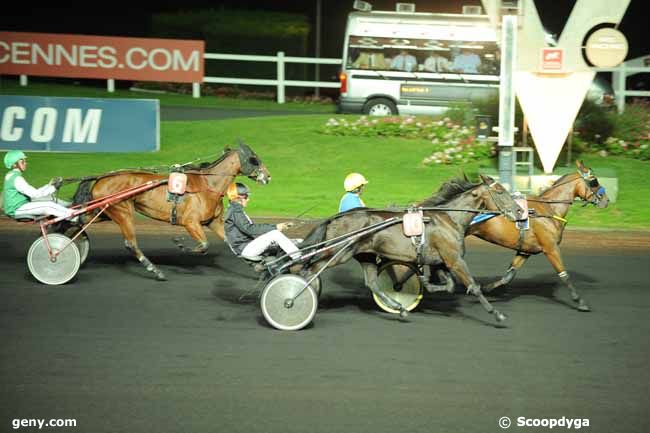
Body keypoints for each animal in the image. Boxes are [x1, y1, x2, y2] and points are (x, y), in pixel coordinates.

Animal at [72, 142, 270, 280]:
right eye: (254, 158)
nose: (267, 176)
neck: (208, 185)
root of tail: (101, 177)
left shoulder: (214, 222)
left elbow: (230, 243)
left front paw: (256, 266)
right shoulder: (191, 222)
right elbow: (204, 245)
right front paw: (180, 245)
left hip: (104, 212)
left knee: (79, 221)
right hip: (122, 211)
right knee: (131, 243)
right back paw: (155, 270)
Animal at [296, 175, 524, 320]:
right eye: (500, 191)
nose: (519, 211)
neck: (449, 218)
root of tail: (336, 217)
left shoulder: (440, 261)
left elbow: (449, 285)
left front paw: (423, 283)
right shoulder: (454, 259)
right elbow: (473, 287)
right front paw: (496, 313)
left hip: (364, 254)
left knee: (372, 283)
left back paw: (399, 308)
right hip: (336, 253)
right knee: (310, 271)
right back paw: (296, 297)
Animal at [466, 159, 608, 310]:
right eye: (594, 180)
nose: (606, 200)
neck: (549, 209)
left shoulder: (525, 251)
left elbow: (509, 276)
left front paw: (486, 288)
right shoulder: (551, 248)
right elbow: (564, 274)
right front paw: (579, 301)